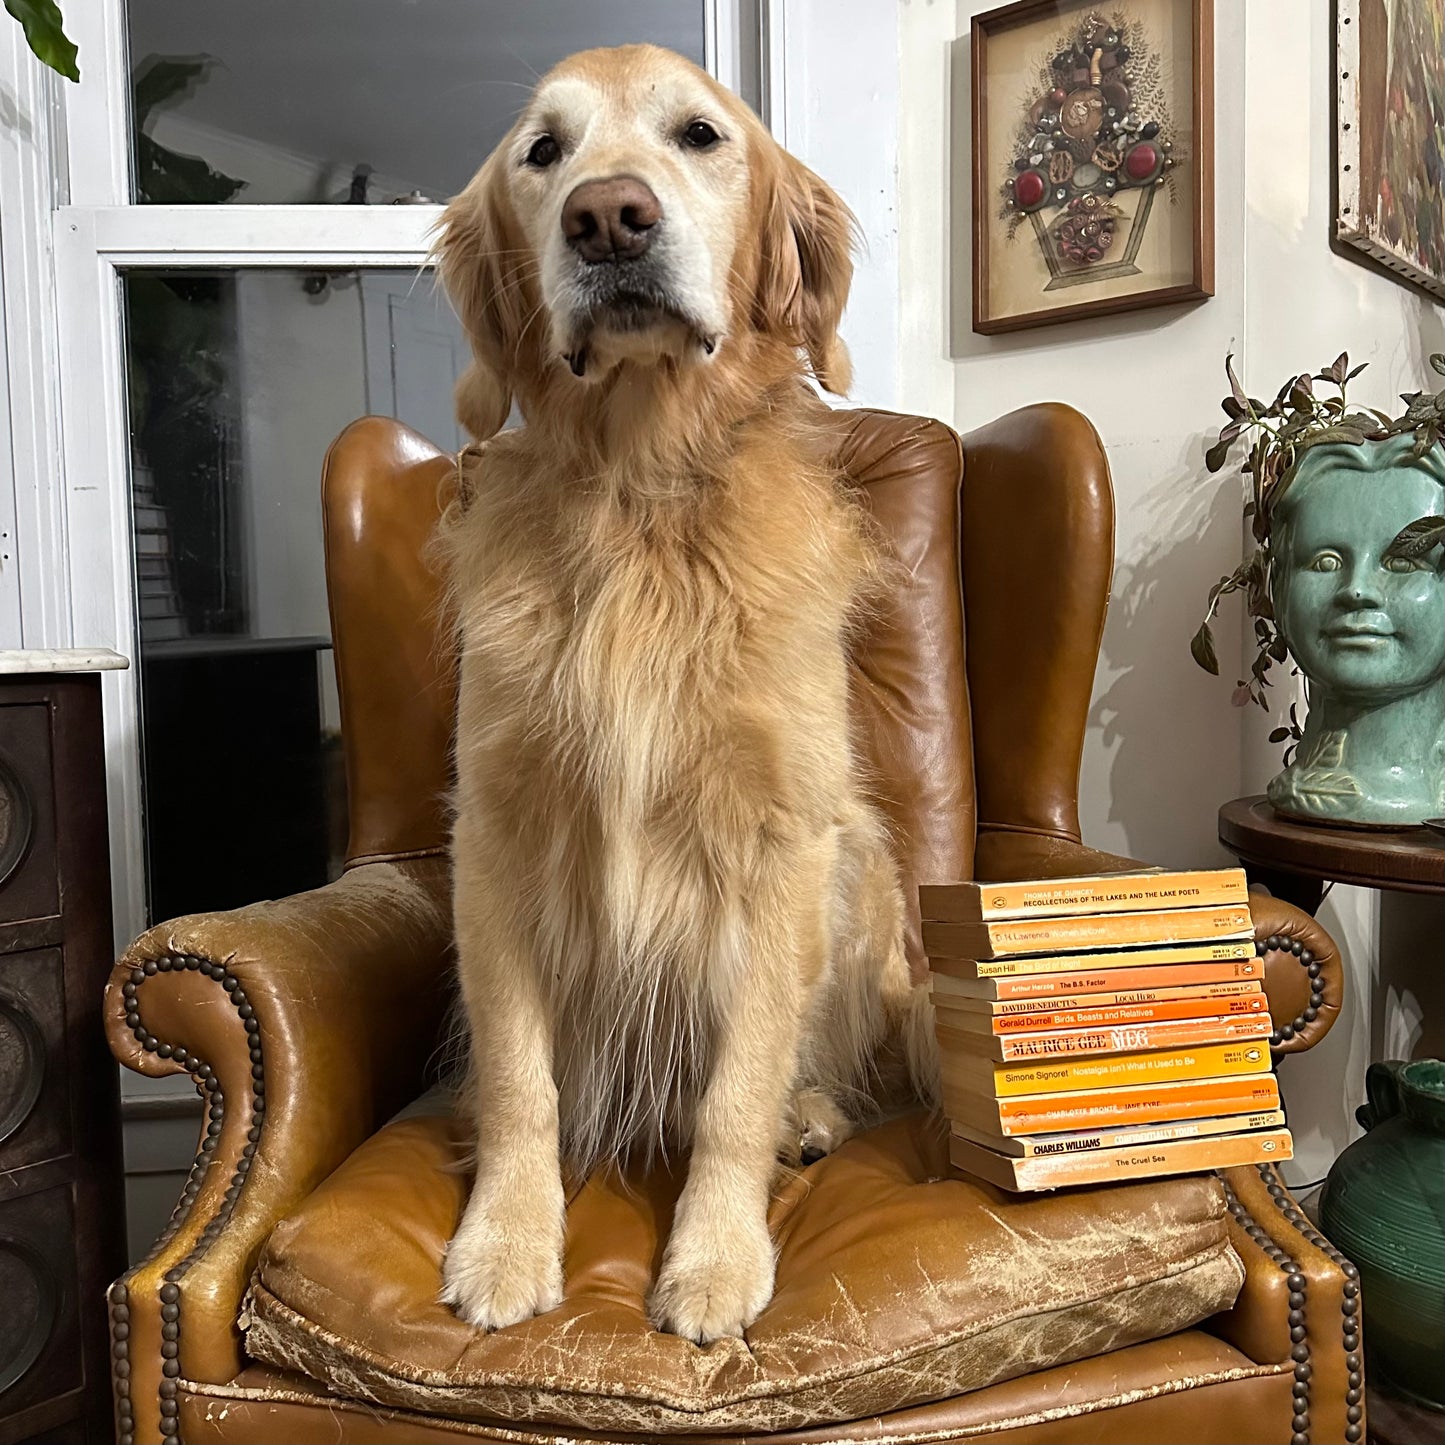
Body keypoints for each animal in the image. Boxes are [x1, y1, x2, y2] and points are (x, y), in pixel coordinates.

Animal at [430, 48, 924, 1352]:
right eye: (541, 154)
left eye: (698, 134)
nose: (608, 217)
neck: (639, 487)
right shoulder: (495, 829)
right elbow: (519, 1076)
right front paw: (506, 1240)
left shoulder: (780, 841)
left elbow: (735, 1088)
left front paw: (711, 1257)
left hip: (859, 864)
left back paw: (812, 1112)